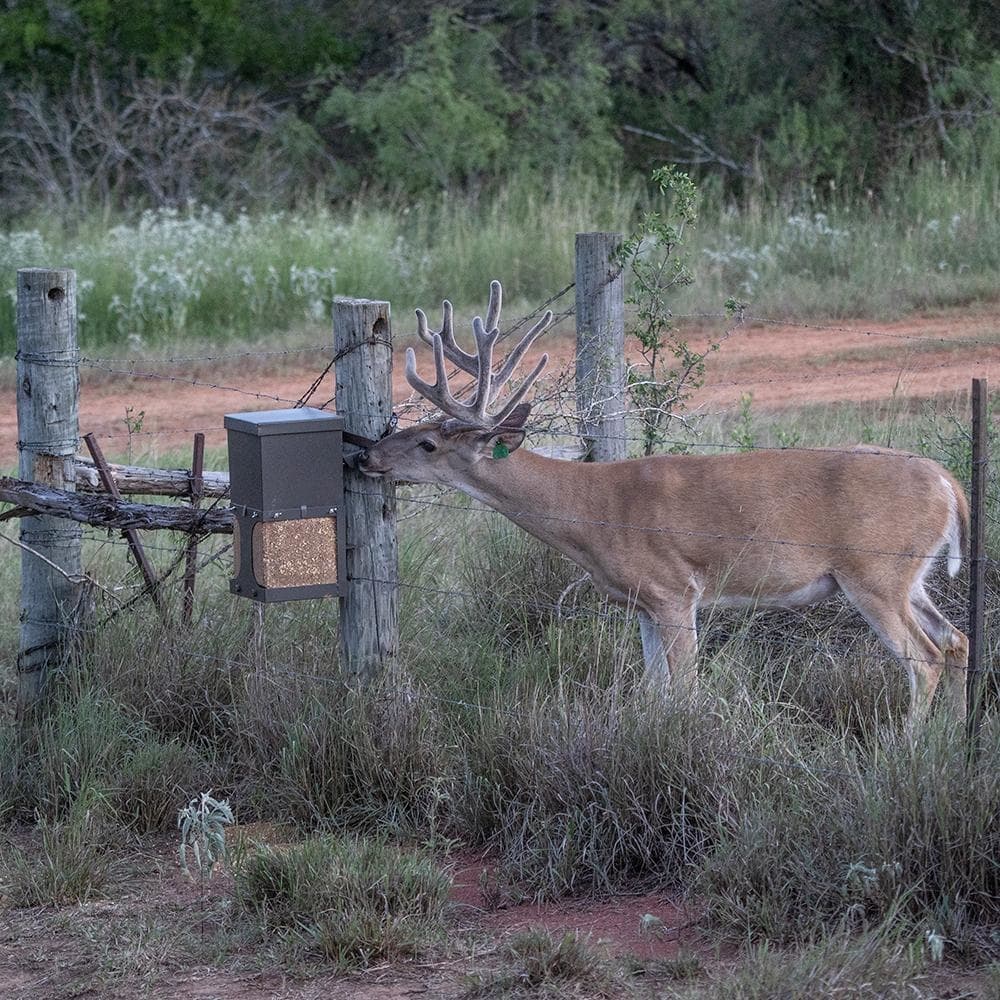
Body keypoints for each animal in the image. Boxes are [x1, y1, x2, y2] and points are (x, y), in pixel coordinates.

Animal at [357, 280, 970, 732]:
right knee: (956, 640)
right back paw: (951, 739)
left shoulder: (674, 589)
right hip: (910, 577)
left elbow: (685, 693)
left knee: (925, 658)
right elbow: (654, 693)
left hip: (874, 571)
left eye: (427, 444)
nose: (367, 454)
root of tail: (948, 483)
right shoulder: (644, 603)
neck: (591, 511)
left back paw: (905, 749)